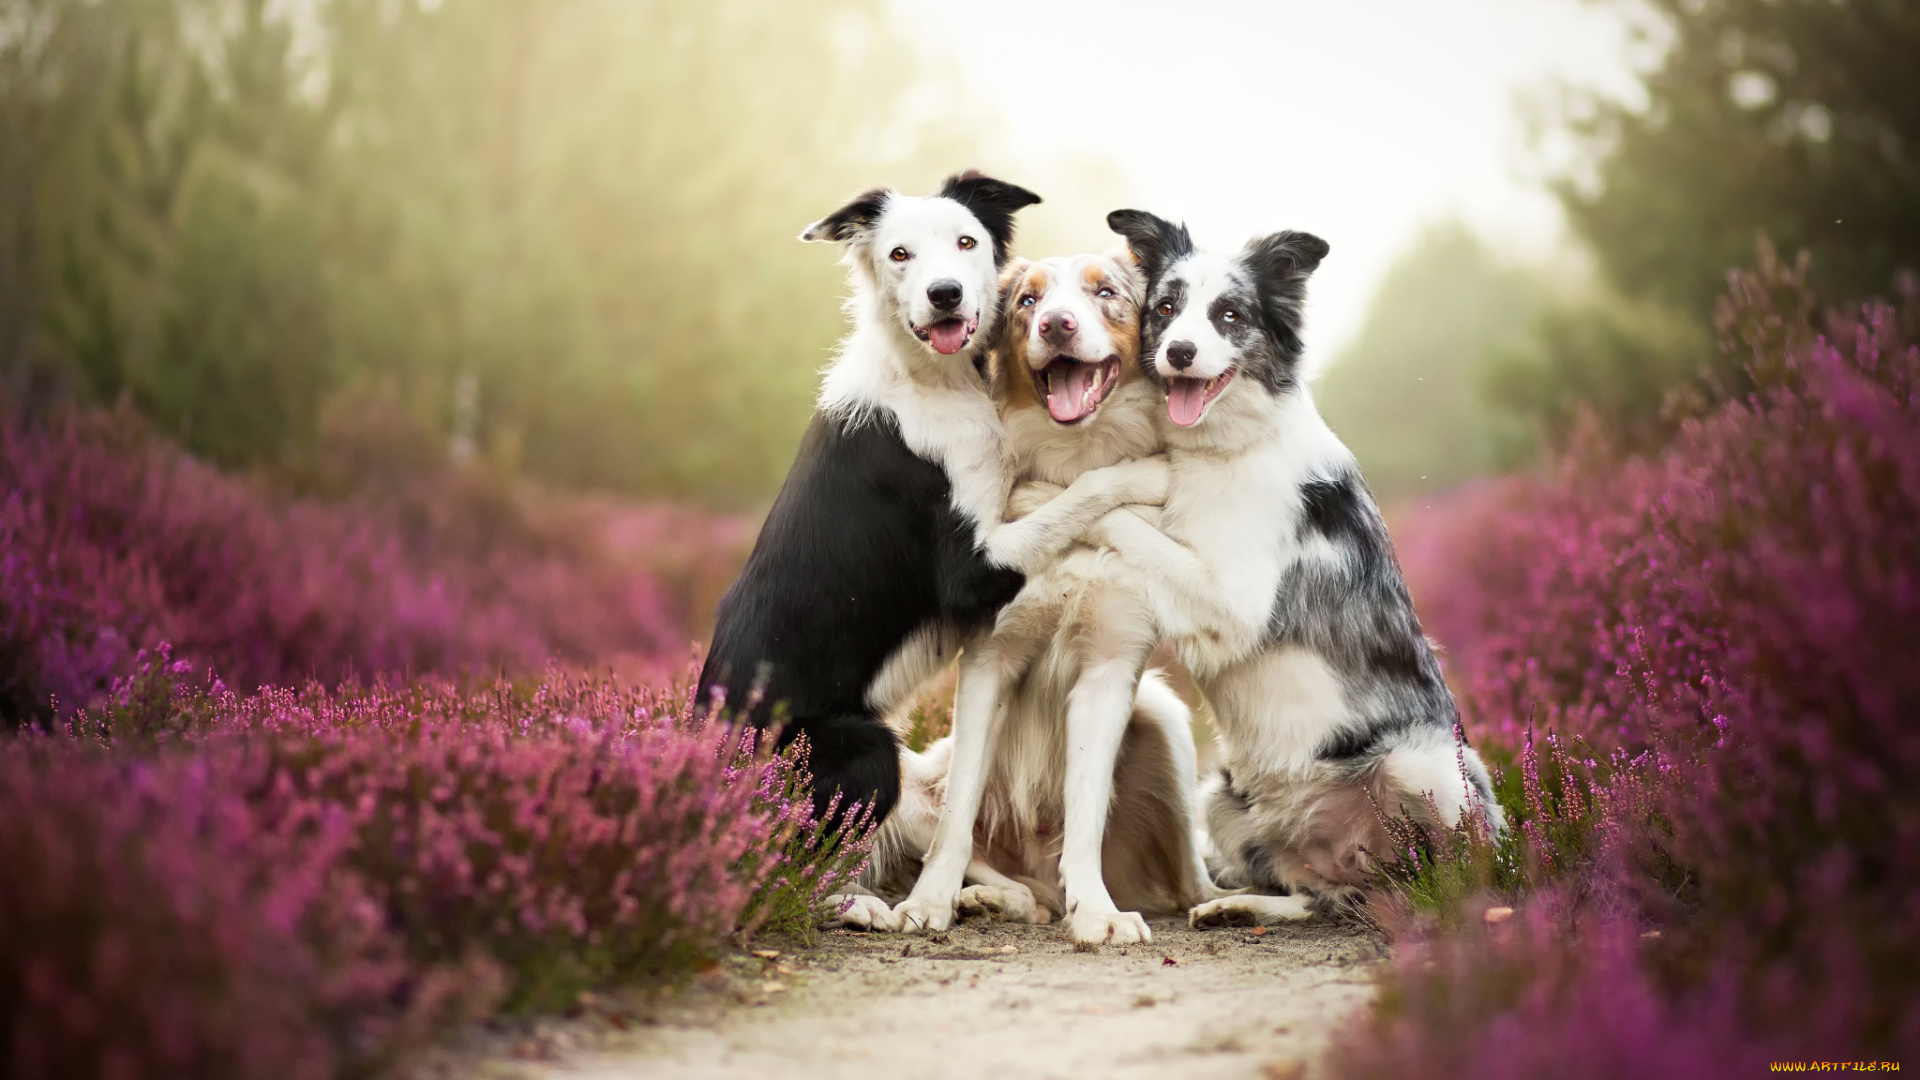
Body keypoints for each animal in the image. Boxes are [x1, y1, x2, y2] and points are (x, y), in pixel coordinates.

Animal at [698, 171, 1159, 868]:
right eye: (899, 254)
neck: (933, 379)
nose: (945, 294)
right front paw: (1151, 473)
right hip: (864, 753)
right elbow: (1081, 492)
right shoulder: (969, 569)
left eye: (967, 242)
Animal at [1090, 212, 1505, 926]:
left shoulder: (1232, 600)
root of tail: (1363, 863)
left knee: (1450, 878)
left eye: (1229, 315)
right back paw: (1242, 906)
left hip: (1424, 763)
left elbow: (1127, 524)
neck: (1223, 452)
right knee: (1312, 898)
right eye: (1166, 308)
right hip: (1222, 797)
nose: (1179, 352)